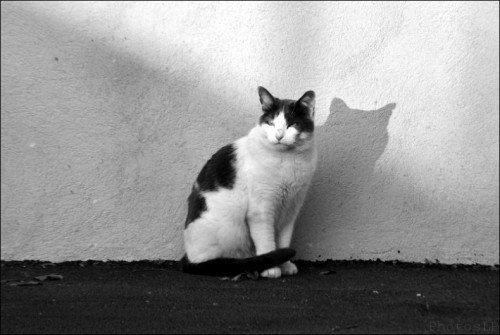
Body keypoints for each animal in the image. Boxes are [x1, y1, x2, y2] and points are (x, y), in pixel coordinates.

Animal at [182, 86, 318, 278]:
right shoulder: (261, 211)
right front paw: (272, 269)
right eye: (271, 123)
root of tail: (188, 257)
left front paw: (285, 265)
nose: (279, 135)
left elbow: (284, 241)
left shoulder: (291, 210)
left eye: (291, 125)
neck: (287, 161)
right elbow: (267, 242)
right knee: (221, 263)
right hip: (229, 228)